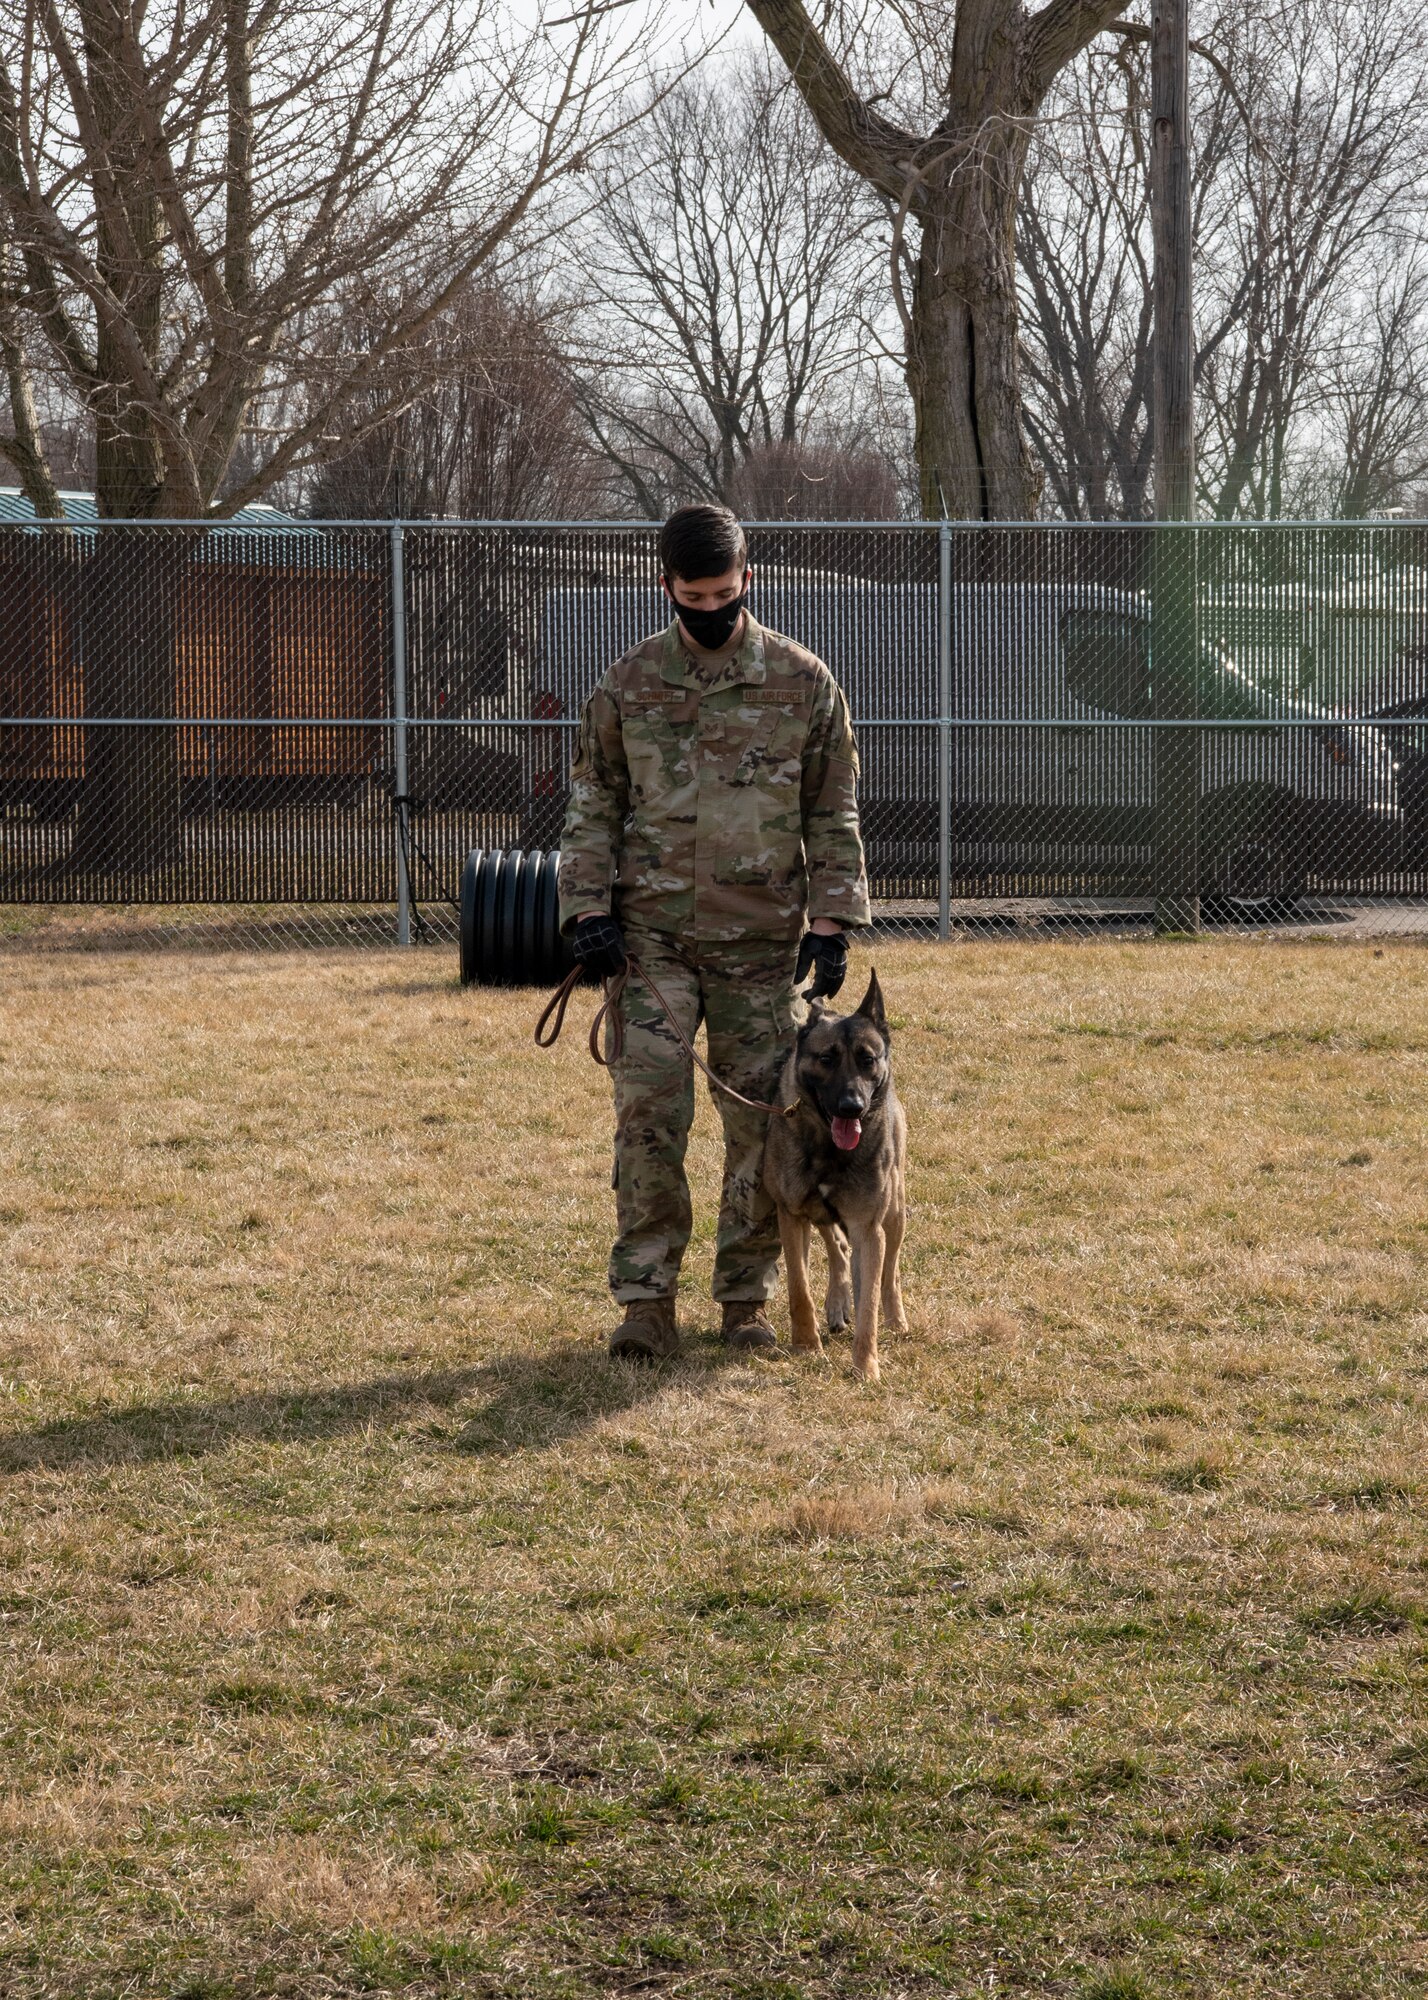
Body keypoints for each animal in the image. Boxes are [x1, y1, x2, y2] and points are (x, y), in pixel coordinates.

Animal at [764, 972, 908, 1384]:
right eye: (826, 1059)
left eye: (867, 1059)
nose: (852, 1107)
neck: (829, 1147)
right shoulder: (792, 1216)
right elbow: (799, 1289)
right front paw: (806, 1346)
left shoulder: (868, 1228)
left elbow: (870, 1301)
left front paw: (866, 1366)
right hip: (822, 1215)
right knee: (838, 1249)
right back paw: (837, 1302)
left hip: (895, 1215)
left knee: (890, 1273)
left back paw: (895, 1318)